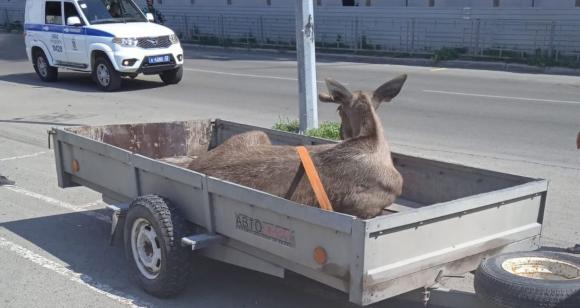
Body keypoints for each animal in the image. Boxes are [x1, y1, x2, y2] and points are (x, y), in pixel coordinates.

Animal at [187, 74, 408, 219]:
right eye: (339, 109)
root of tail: (193, 166)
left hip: (257, 134)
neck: (374, 139)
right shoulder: (363, 207)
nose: (341, 133)